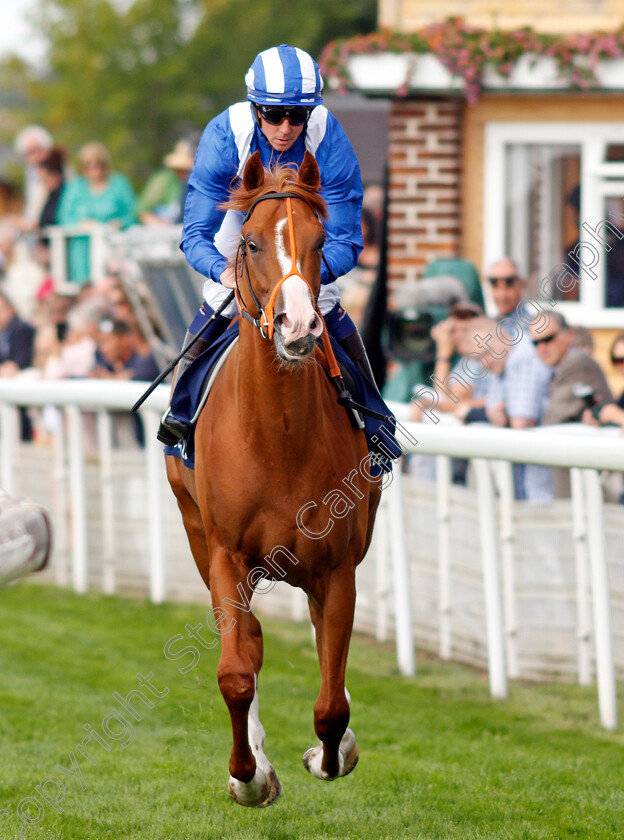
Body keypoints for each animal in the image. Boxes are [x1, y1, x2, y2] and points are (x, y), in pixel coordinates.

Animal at [166, 151, 380, 808]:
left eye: (319, 243)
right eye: (253, 241)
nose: (299, 325)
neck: (277, 437)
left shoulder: (337, 565)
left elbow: (332, 700)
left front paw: (330, 756)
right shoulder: (226, 554)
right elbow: (237, 670)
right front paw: (250, 775)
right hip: (195, 532)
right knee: (253, 641)